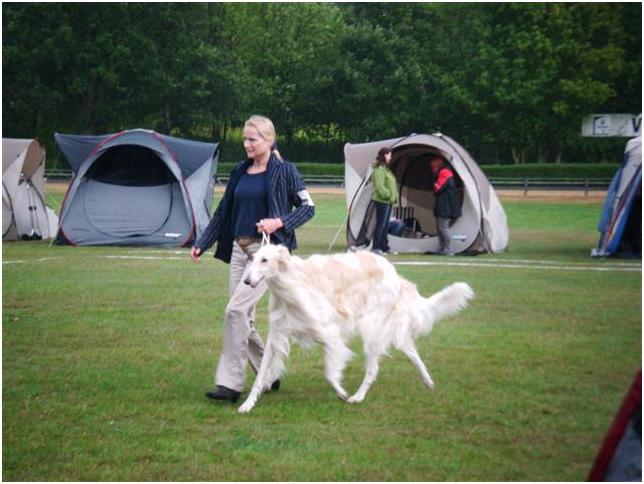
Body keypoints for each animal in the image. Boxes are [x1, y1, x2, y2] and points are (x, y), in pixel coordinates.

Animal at [238, 244, 474, 413]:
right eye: (252, 258)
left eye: (265, 260)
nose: (247, 281)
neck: (292, 283)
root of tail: (393, 272)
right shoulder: (276, 336)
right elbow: (260, 375)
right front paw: (247, 404)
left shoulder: (330, 334)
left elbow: (330, 374)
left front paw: (342, 392)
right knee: (411, 351)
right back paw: (428, 382)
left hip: (372, 330)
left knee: (372, 369)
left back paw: (358, 396)